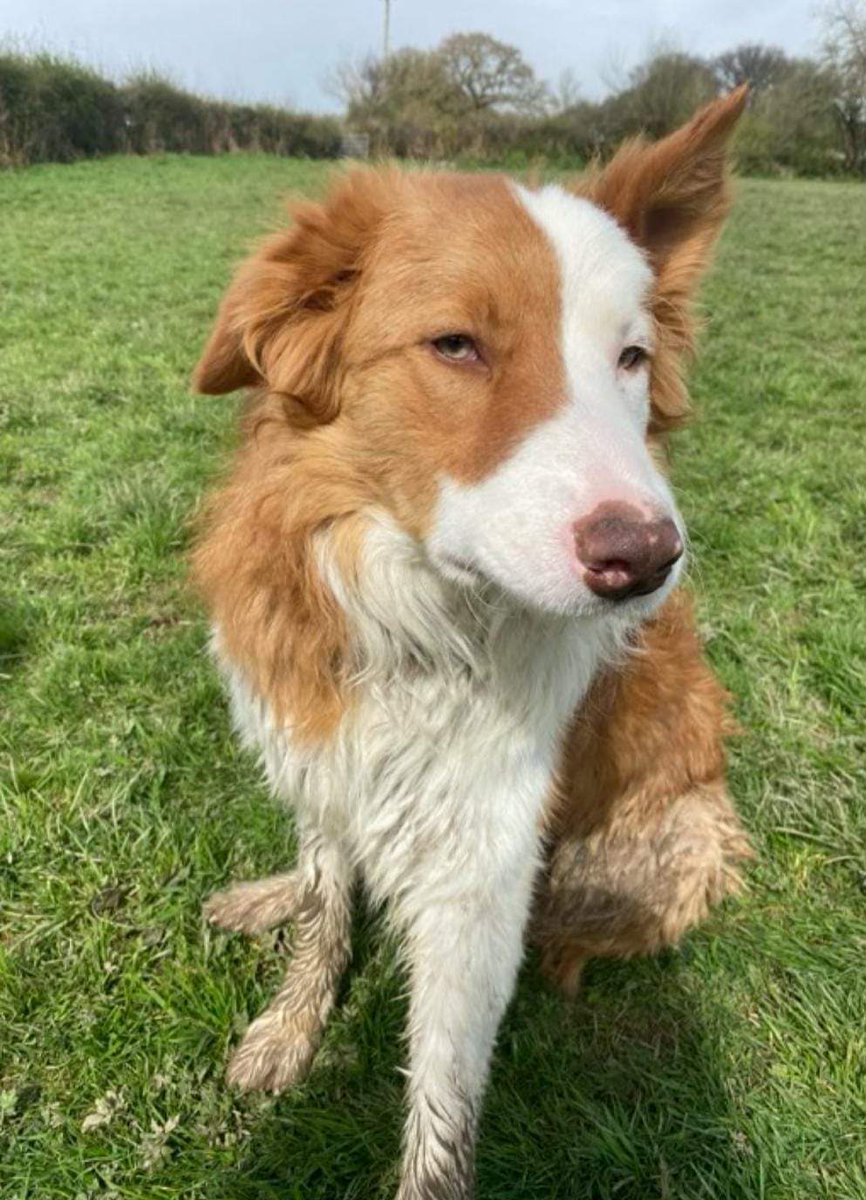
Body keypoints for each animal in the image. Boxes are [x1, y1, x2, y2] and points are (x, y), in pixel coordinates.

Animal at [191, 87, 743, 1200]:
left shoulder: (476, 878)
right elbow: (324, 902)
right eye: (454, 345)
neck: (418, 623)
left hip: (676, 841)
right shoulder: (325, 756)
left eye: (631, 359)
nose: (646, 557)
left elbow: (441, 1112)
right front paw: (290, 1023)